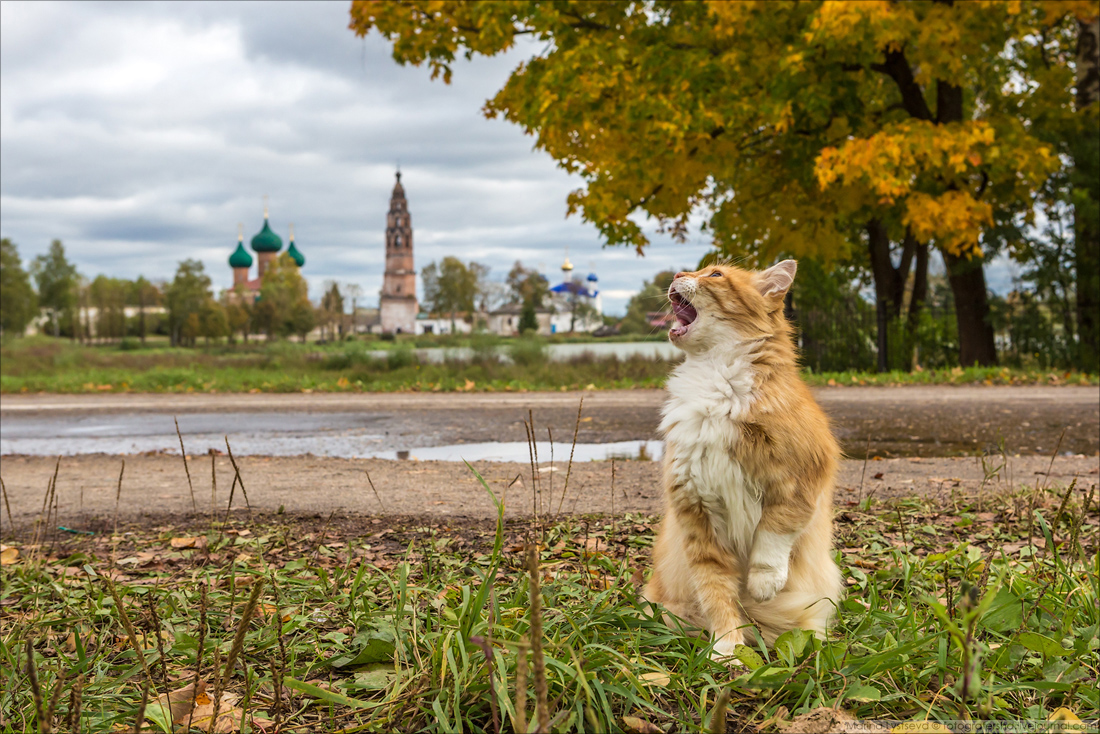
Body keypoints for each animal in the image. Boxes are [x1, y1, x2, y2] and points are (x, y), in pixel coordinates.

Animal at [642, 260, 840, 664]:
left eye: (715, 275)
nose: (676, 274)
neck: (714, 384)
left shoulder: (805, 476)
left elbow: (774, 532)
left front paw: (764, 584)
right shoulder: (695, 511)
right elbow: (717, 592)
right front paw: (728, 648)